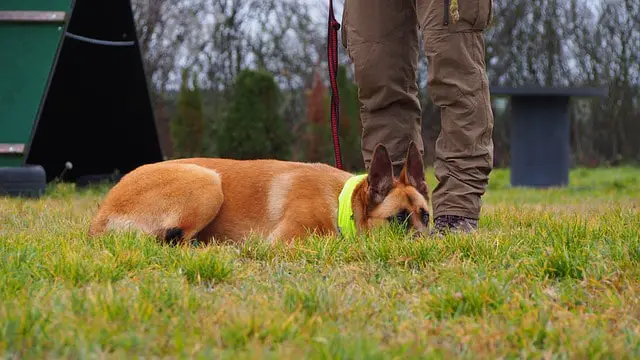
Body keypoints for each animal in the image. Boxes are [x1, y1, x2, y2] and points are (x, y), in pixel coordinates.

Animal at [89, 141, 430, 245]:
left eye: (426, 216)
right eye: (398, 219)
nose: (429, 246)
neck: (341, 203)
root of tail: (99, 218)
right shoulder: (286, 241)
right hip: (208, 183)